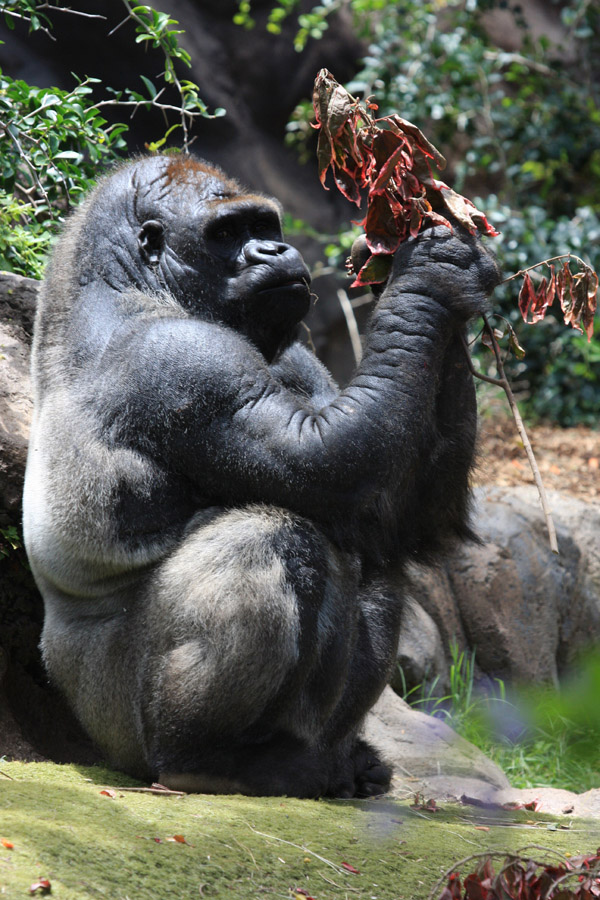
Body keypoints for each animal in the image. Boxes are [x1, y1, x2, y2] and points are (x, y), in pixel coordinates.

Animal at [22, 155, 496, 796]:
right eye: (227, 233)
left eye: (263, 224)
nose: (274, 249)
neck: (124, 277)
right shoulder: (183, 363)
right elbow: (339, 468)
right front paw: (432, 273)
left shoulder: (293, 345)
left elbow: (398, 515)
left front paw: (431, 248)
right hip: (112, 724)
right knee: (270, 535)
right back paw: (206, 757)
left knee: (372, 558)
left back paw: (337, 761)